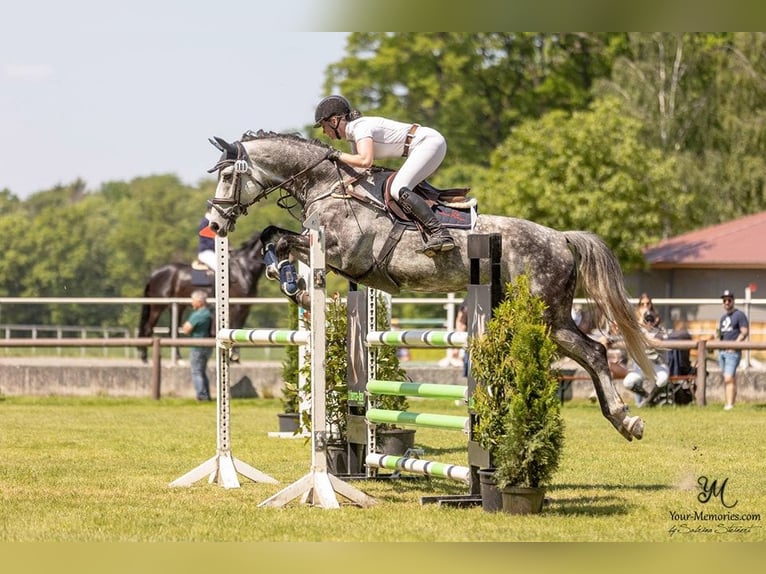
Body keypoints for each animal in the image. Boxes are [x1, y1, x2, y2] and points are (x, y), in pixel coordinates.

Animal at [138, 232, 268, 362]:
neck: (244, 269)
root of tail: (154, 274)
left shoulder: (246, 307)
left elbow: (238, 327)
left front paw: (235, 357)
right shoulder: (237, 306)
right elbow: (235, 326)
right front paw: (234, 356)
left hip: (178, 306)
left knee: (172, 330)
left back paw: (177, 358)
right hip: (158, 305)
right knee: (149, 328)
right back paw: (145, 357)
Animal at [204, 130, 656, 444]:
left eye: (227, 176)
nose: (216, 223)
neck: (326, 184)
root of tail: (561, 237)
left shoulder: (341, 254)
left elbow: (280, 239)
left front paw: (292, 282)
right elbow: (271, 234)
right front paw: (287, 278)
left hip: (547, 314)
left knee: (595, 353)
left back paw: (626, 420)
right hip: (543, 315)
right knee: (591, 353)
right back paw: (621, 419)